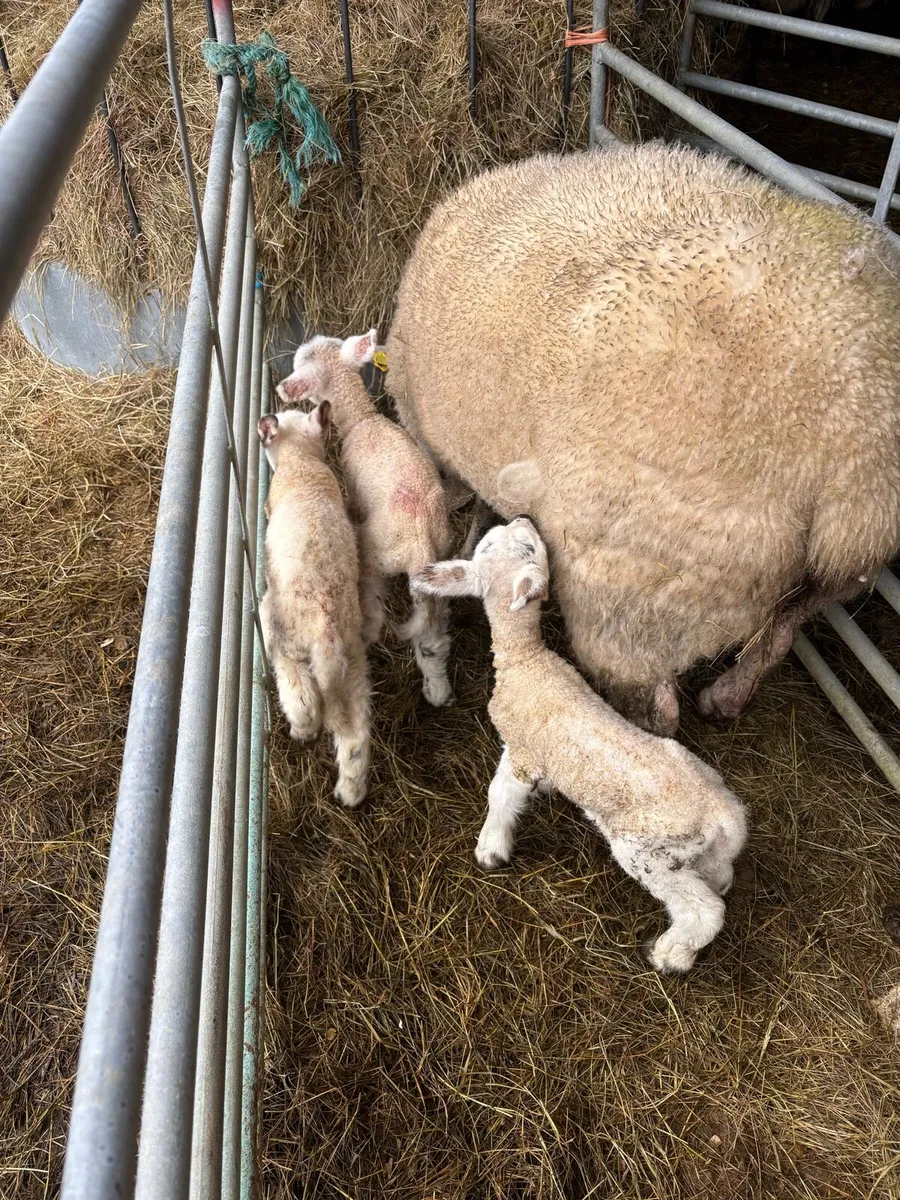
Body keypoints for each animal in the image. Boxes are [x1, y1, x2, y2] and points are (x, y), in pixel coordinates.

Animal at [258, 402, 371, 808]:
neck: (302, 464)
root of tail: (327, 635)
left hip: (282, 635)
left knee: (301, 695)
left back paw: (302, 729)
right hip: (353, 668)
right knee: (355, 737)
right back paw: (350, 792)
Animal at [277, 330, 456, 708]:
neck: (363, 419)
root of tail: (420, 543)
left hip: (375, 557)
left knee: (375, 608)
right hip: (438, 571)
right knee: (433, 636)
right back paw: (437, 690)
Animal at [386, 140, 900, 737]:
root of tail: (850, 446)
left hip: (640, 589)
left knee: (655, 708)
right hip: (837, 572)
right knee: (779, 633)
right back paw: (725, 698)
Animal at [411, 518, 748, 974]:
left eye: (525, 545)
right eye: (494, 541)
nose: (523, 518)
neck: (526, 660)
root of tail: (726, 816)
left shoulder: (522, 752)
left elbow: (499, 795)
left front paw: (491, 849)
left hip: (649, 850)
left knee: (704, 908)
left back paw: (669, 955)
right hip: (700, 850)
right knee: (720, 879)